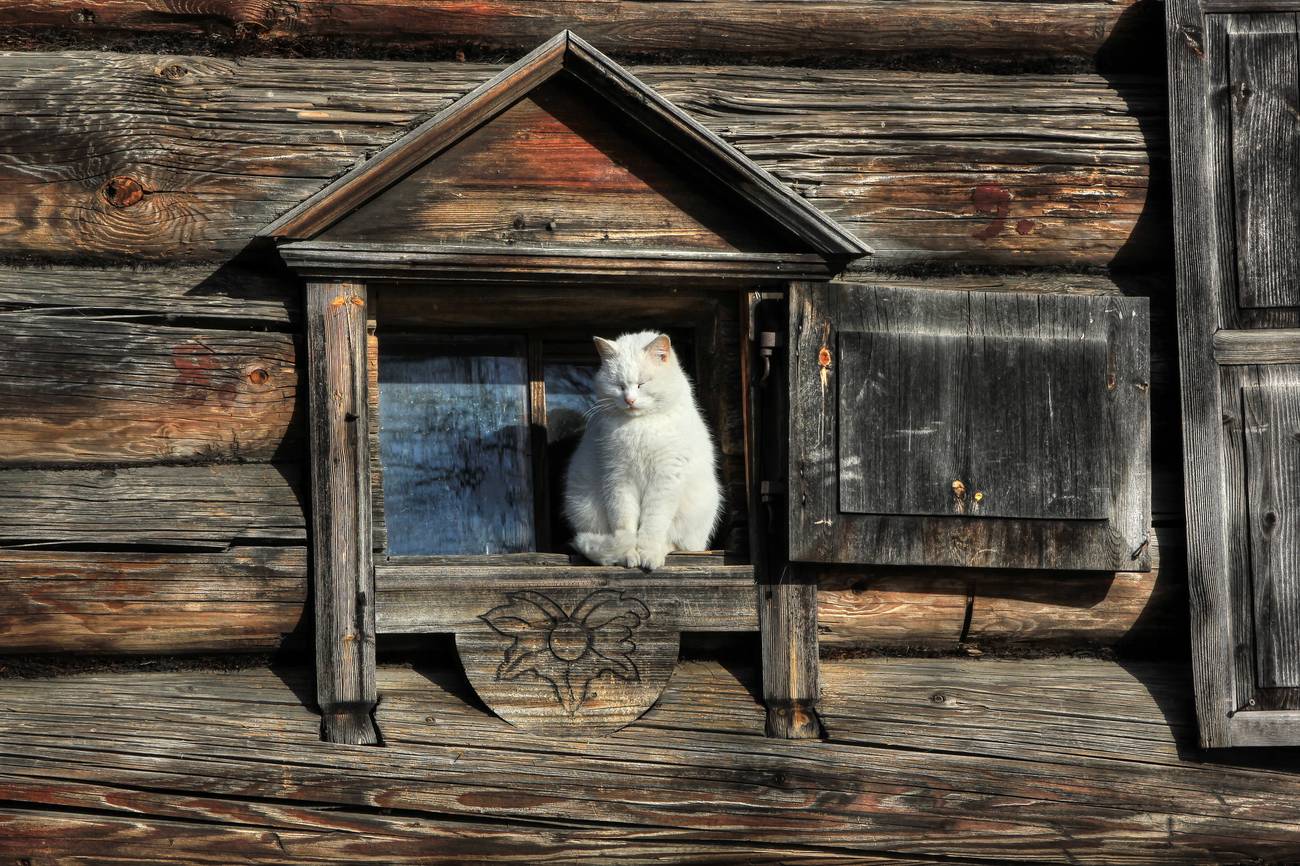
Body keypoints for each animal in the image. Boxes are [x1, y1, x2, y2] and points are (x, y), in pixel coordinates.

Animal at [561, 328, 722, 566]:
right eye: (619, 385)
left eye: (642, 383)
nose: (629, 400)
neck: (640, 426)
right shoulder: (618, 478)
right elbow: (624, 523)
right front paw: (628, 555)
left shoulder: (665, 479)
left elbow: (653, 524)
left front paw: (648, 555)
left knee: (679, 544)